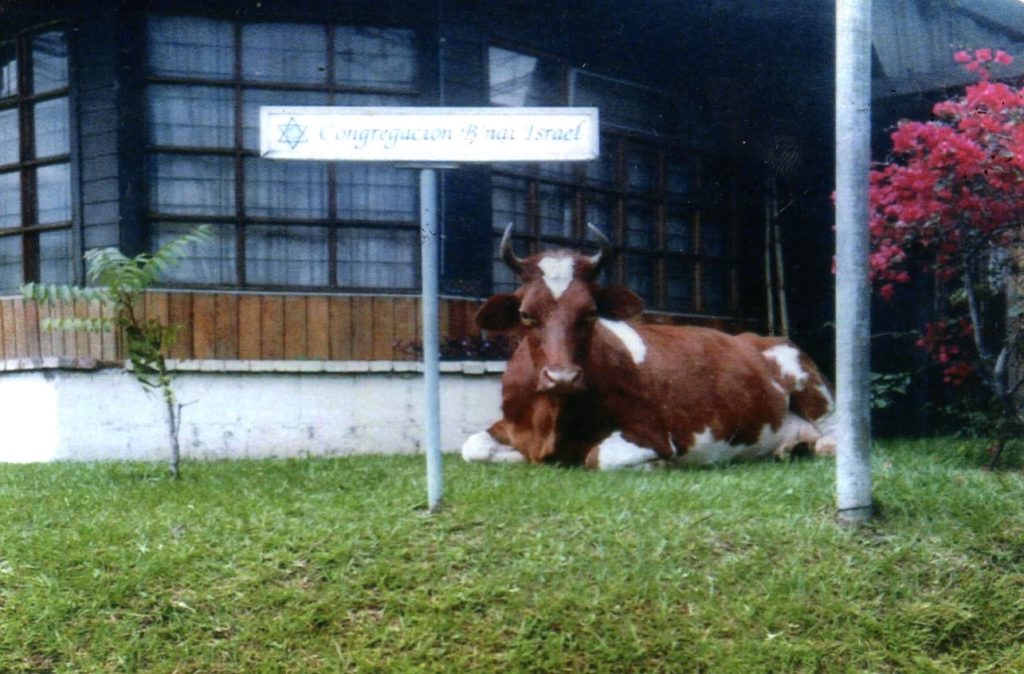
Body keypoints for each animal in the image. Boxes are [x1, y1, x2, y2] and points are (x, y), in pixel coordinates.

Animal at [460, 223, 835, 469]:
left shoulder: (652, 433)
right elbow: (472, 446)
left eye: (590, 313)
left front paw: (658, 465)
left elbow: (597, 456)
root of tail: (758, 336)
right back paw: (792, 449)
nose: (562, 378)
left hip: (810, 385)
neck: (549, 419)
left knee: (832, 434)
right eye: (526, 314)